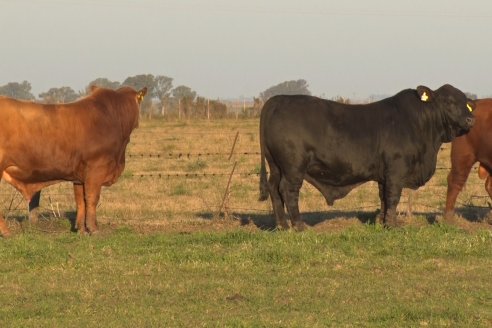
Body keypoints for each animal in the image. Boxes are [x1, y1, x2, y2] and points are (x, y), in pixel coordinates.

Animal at [260, 84, 474, 229]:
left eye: (466, 103)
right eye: (448, 101)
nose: (470, 119)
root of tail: (276, 100)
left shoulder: (383, 174)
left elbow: (383, 197)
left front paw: (381, 221)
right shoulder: (396, 170)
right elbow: (393, 197)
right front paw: (392, 225)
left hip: (276, 166)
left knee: (274, 189)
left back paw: (282, 225)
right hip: (293, 167)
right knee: (287, 190)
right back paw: (299, 225)